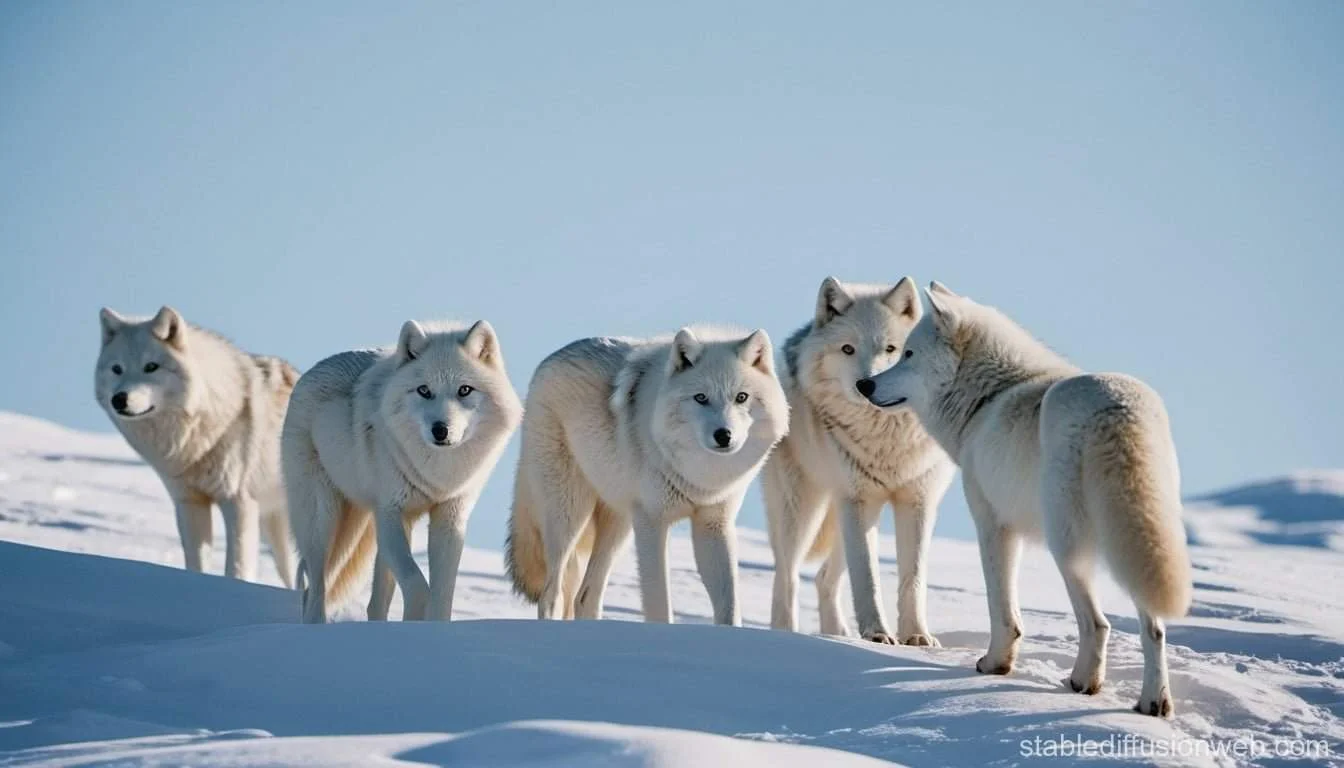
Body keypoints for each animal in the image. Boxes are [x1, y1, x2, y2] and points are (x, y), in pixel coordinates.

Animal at [95, 306, 297, 585]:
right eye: (117, 369)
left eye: (151, 367)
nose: (119, 399)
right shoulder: (189, 503)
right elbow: (196, 563)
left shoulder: (238, 503)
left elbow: (237, 567)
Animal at [283, 320, 522, 623]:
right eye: (424, 390)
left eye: (464, 390)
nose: (440, 430)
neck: (437, 474)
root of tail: (308, 374)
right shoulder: (391, 513)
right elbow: (418, 584)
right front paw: (413, 622)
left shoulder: (449, 517)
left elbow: (442, 594)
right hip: (323, 523)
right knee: (314, 589)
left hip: (361, 532)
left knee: (371, 602)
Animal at [505, 326, 789, 626]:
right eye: (701, 397)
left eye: (741, 397)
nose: (724, 435)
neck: (701, 478)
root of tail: (548, 361)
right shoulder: (652, 523)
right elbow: (659, 604)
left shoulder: (713, 524)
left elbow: (729, 605)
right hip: (569, 515)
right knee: (552, 594)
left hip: (619, 526)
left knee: (585, 597)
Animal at [761, 277, 955, 644]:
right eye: (848, 349)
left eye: (893, 349)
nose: (867, 384)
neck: (886, 440)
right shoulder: (859, 501)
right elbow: (867, 576)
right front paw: (878, 635)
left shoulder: (917, 501)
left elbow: (913, 578)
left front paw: (916, 636)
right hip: (805, 510)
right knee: (786, 576)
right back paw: (786, 635)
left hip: (845, 517)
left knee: (823, 577)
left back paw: (837, 633)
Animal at [862, 282, 1192, 717]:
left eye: (908, 354)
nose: (864, 385)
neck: (987, 400)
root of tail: (1116, 405)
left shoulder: (991, 524)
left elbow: (1002, 609)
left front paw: (994, 665)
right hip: (1137, 546)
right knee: (1153, 628)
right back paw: (1153, 703)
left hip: (1066, 548)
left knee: (1098, 623)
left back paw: (1083, 683)